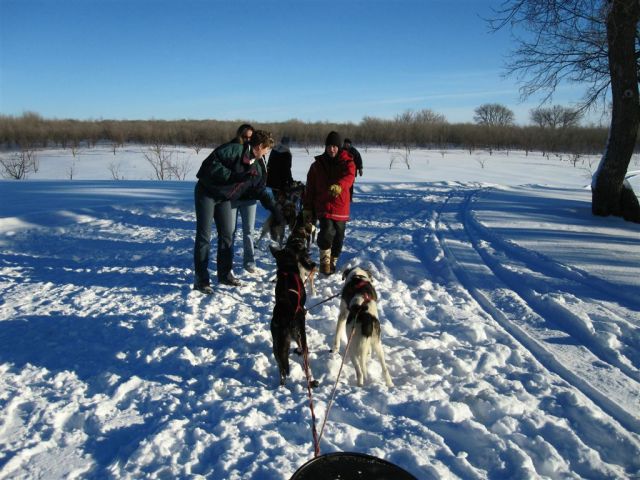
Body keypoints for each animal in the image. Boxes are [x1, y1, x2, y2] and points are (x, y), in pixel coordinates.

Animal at [269, 239, 319, 388]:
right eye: (303, 251)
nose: (313, 264)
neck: (287, 269)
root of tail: (284, 319)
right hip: (301, 332)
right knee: (305, 356)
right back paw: (311, 380)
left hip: (277, 346)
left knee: (281, 367)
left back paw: (282, 385)